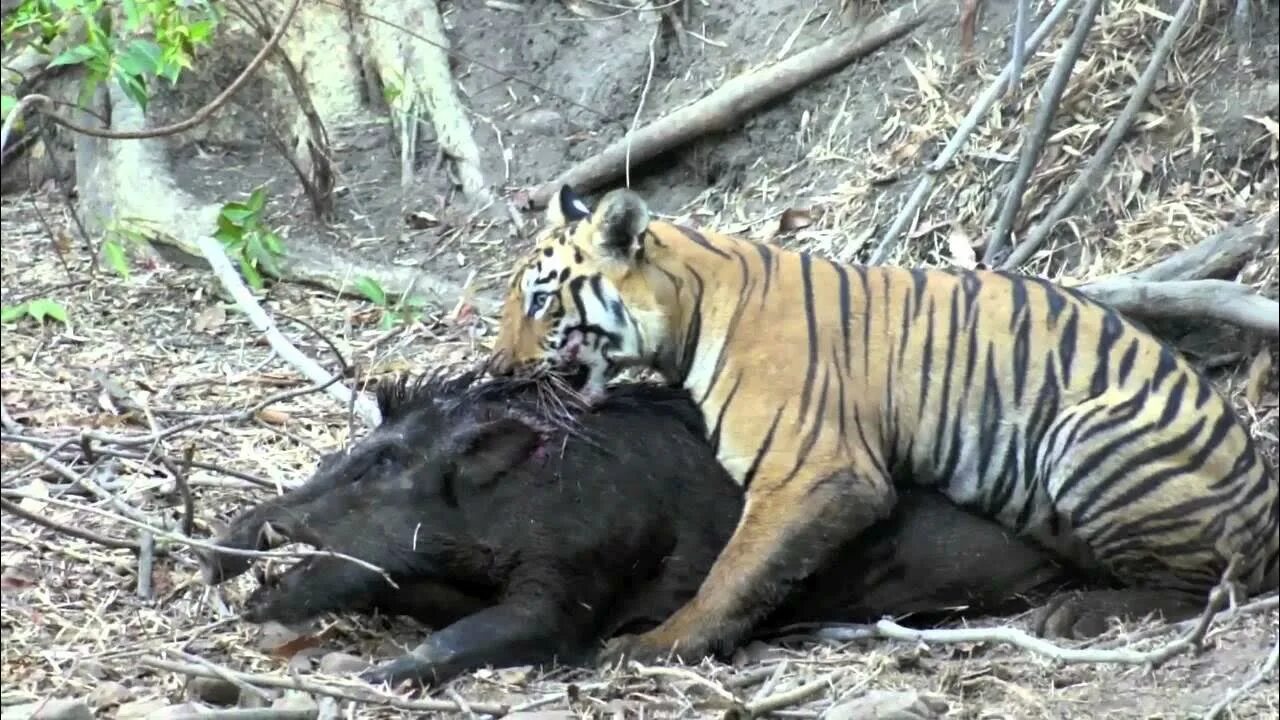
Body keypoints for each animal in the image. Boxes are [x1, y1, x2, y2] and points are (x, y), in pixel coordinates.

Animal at [481, 183, 1280, 661]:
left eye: (542, 300)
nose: (497, 369)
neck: (690, 307)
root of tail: (1267, 505)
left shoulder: (816, 473)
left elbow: (734, 573)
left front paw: (658, 646)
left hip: (1085, 438)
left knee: (1212, 587)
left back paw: (1078, 615)